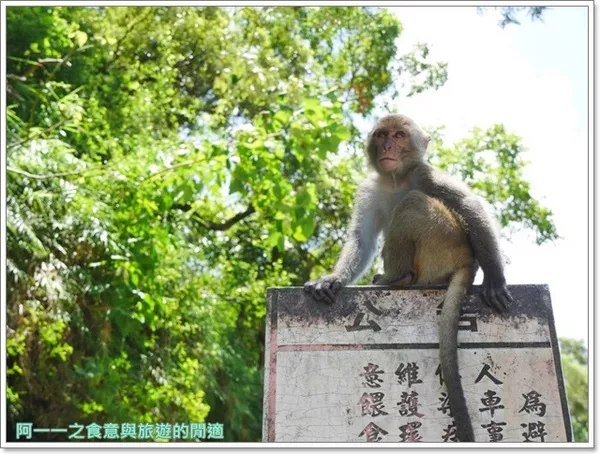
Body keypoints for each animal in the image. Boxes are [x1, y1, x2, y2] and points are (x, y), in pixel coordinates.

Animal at [304, 112, 510, 440]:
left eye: (399, 135)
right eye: (381, 135)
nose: (387, 146)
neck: (395, 179)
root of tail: (467, 261)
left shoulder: (425, 174)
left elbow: (469, 204)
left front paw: (496, 278)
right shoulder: (369, 189)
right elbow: (361, 239)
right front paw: (333, 279)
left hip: (442, 245)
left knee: (413, 203)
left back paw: (397, 278)